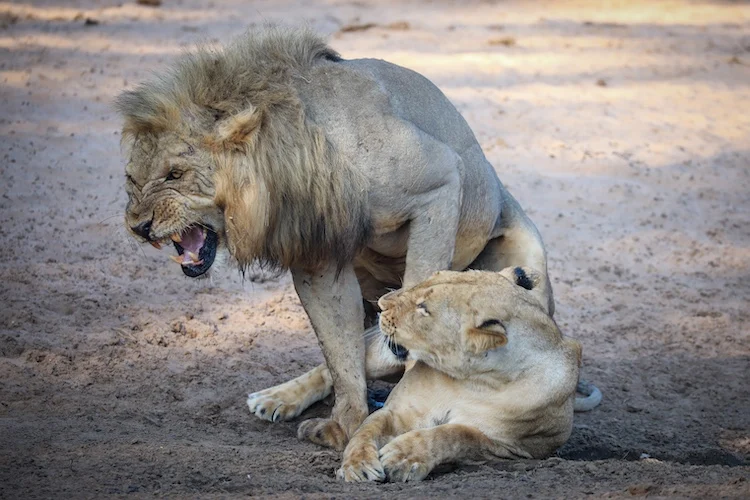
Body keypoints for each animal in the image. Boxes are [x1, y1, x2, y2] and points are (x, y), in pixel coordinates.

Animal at [116, 26, 554, 450]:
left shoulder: (440, 182)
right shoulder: (317, 259)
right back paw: (278, 399)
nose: (139, 226)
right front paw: (344, 426)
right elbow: (340, 350)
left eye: (175, 174)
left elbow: (419, 285)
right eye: (132, 178)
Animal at [336, 267, 599, 482]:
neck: (474, 381)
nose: (381, 304)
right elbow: (366, 428)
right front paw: (356, 465)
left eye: (424, 308)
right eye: (430, 277)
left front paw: (403, 457)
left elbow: (456, 434)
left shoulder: (514, 448)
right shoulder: (399, 411)